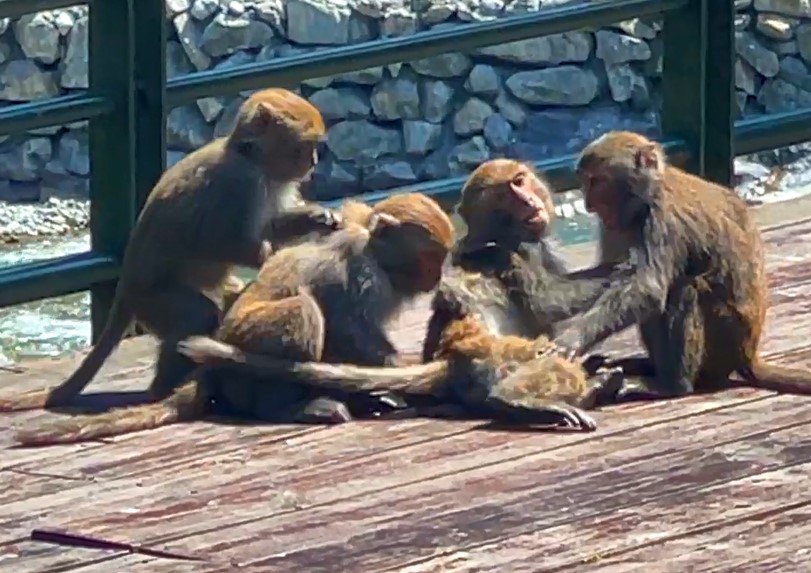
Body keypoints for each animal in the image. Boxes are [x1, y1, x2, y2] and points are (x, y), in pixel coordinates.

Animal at [0, 87, 342, 414]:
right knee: (197, 315)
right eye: (304, 146)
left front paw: (320, 217)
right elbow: (222, 240)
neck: (251, 159)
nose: (313, 162)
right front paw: (270, 256)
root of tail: (126, 286)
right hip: (153, 302)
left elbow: (272, 224)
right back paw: (162, 388)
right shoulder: (239, 185)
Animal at [540, 130, 811, 398]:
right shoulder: (614, 225)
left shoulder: (662, 221)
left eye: (597, 181)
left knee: (685, 290)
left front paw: (573, 338)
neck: (646, 197)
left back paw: (673, 385)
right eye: (586, 181)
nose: (588, 205)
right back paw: (649, 367)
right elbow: (617, 277)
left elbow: (648, 289)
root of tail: (748, 355)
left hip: (727, 339)